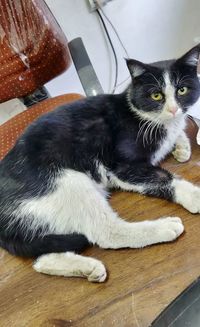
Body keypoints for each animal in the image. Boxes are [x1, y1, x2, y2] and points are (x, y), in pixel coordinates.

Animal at [0, 44, 200, 284]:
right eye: (156, 95)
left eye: (182, 90)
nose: (173, 110)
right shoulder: (122, 166)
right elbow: (163, 177)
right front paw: (195, 195)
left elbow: (179, 133)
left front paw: (182, 147)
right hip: (67, 182)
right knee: (106, 232)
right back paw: (164, 227)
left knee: (41, 258)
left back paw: (87, 269)